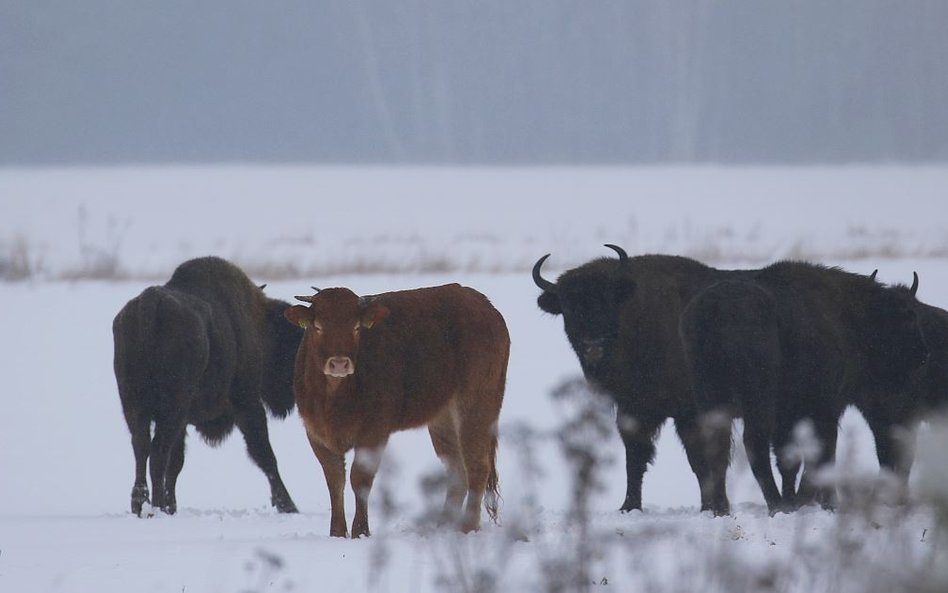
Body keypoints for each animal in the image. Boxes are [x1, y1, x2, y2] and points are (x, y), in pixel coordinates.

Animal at [113, 256, 302, 516]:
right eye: (292, 346)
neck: (258, 323)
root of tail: (150, 304)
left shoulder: (183, 422)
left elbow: (176, 463)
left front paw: (172, 506)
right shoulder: (247, 404)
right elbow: (264, 453)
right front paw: (288, 505)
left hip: (135, 405)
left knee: (142, 448)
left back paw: (141, 505)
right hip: (171, 409)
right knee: (157, 451)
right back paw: (156, 506)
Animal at [286, 282, 512, 536]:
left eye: (356, 327)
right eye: (317, 327)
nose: (339, 363)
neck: (333, 397)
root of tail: (483, 304)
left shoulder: (374, 431)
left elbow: (359, 478)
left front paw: (360, 531)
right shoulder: (316, 432)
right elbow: (335, 480)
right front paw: (336, 533)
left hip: (477, 403)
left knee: (477, 465)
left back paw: (467, 527)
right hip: (443, 417)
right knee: (456, 470)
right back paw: (443, 526)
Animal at [680, 266, 924, 512]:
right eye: (907, 320)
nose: (921, 355)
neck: (850, 317)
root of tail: (713, 308)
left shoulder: (790, 417)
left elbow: (790, 460)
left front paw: (796, 498)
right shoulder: (826, 408)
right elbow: (822, 453)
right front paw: (813, 501)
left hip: (712, 399)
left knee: (718, 447)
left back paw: (724, 509)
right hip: (758, 401)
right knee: (754, 443)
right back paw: (776, 504)